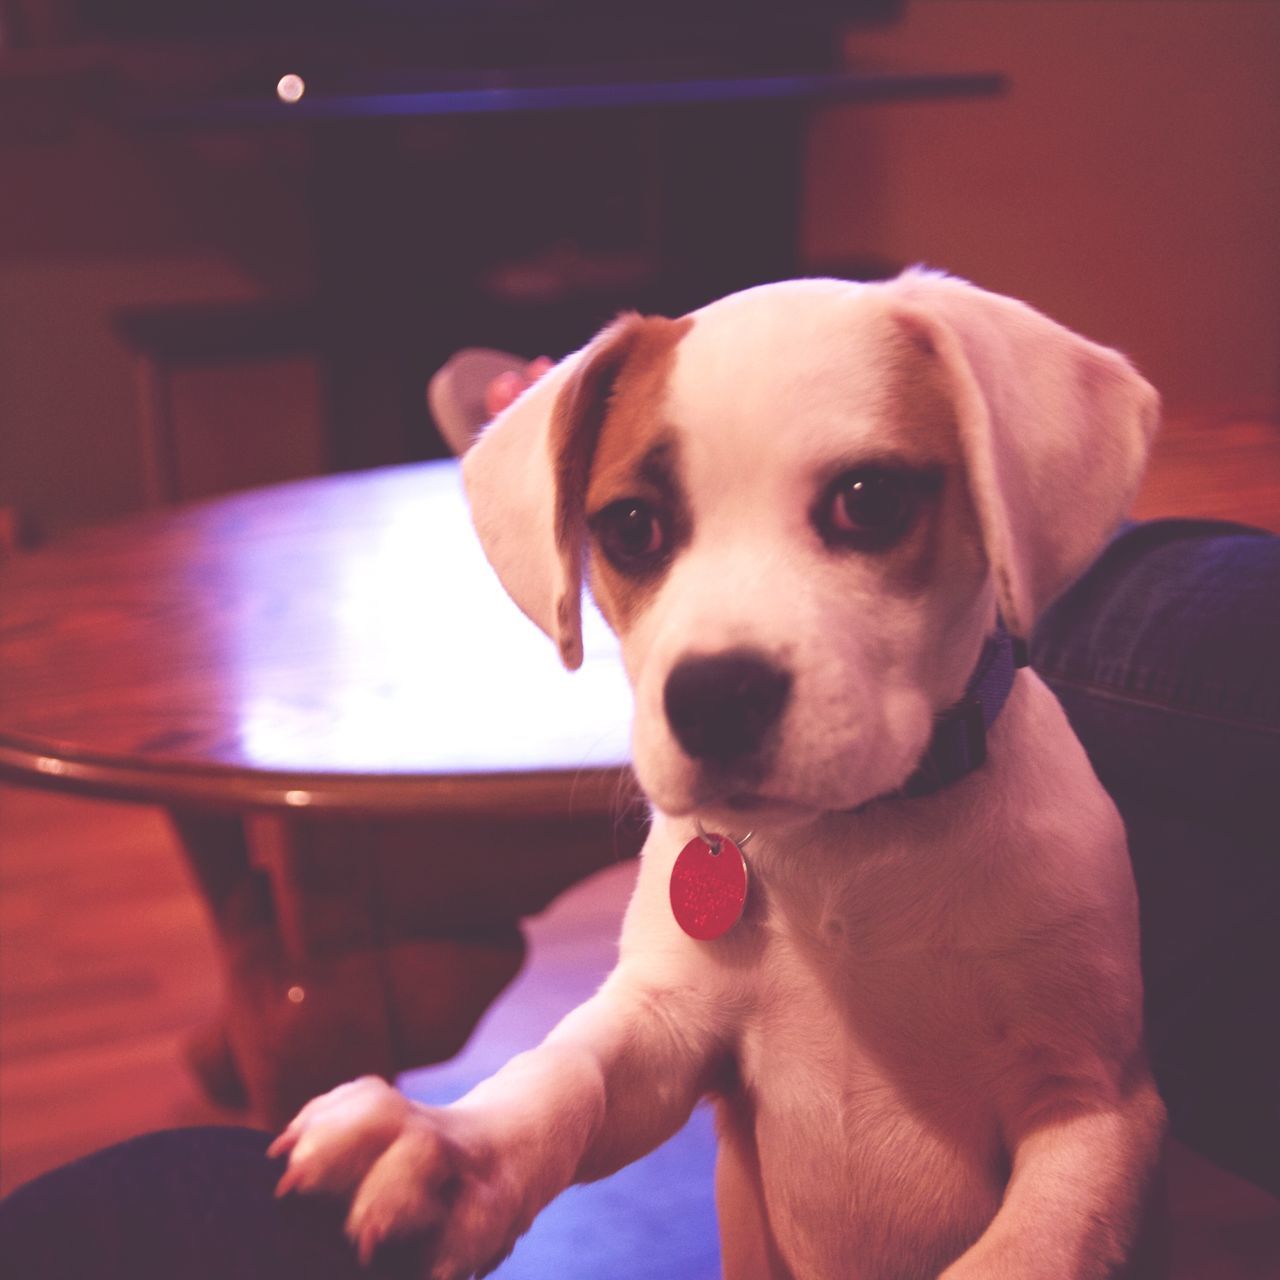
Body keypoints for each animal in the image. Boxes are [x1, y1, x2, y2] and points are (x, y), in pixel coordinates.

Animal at [272, 272, 1172, 1280]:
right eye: (632, 527)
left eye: (869, 500)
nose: (713, 698)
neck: (854, 848)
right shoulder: (672, 1035)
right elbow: (567, 1070)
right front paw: (448, 1146)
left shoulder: (1091, 1105)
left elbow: (1021, 1250)